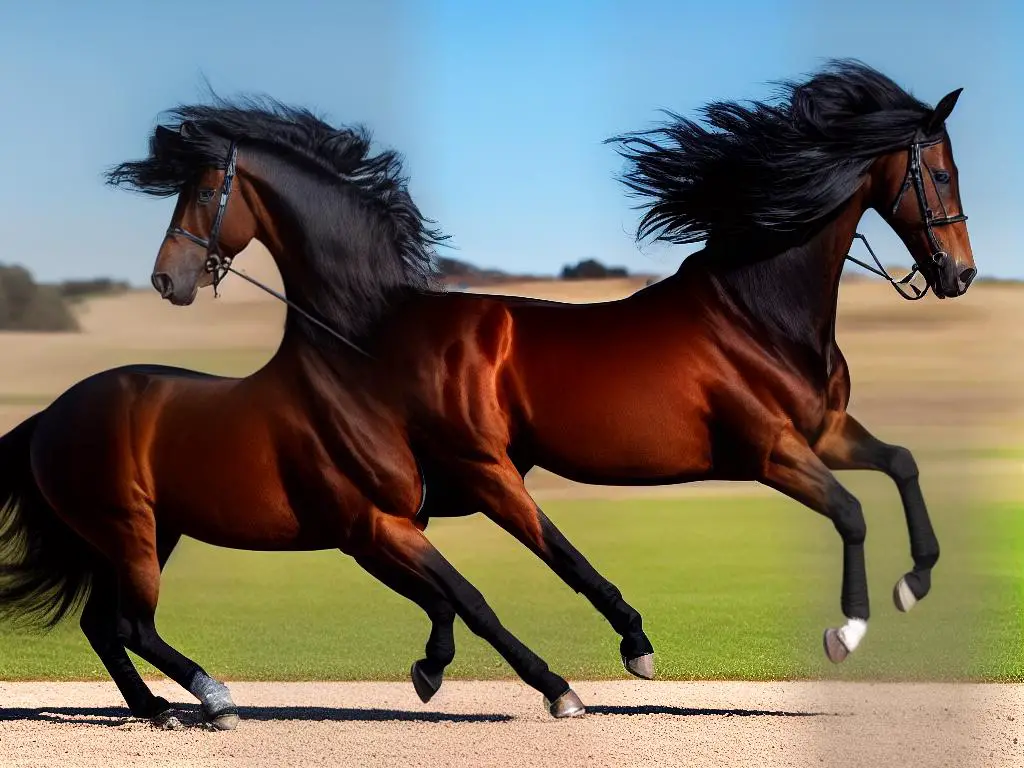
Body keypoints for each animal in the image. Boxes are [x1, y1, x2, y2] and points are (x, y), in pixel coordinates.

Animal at [128, 60, 974, 700]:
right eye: (937, 172)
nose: (958, 274)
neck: (758, 309)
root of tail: (386, 322)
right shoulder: (770, 450)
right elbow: (852, 512)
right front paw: (848, 629)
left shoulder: (822, 434)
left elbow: (901, 465)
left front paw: (917, 580)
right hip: (483, 468)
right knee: (545, 550)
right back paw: (613, 651)